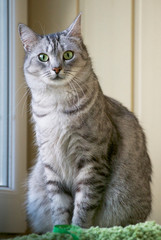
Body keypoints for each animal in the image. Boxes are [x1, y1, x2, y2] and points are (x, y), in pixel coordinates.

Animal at [18, 14, 152, 233]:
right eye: (43, 57)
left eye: (68, 55)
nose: (56, 68)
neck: (57, 106)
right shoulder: (51, 163)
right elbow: (59, 205)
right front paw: (59, 232)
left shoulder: (92, 160)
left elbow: (83, 206)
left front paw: (77, 231)